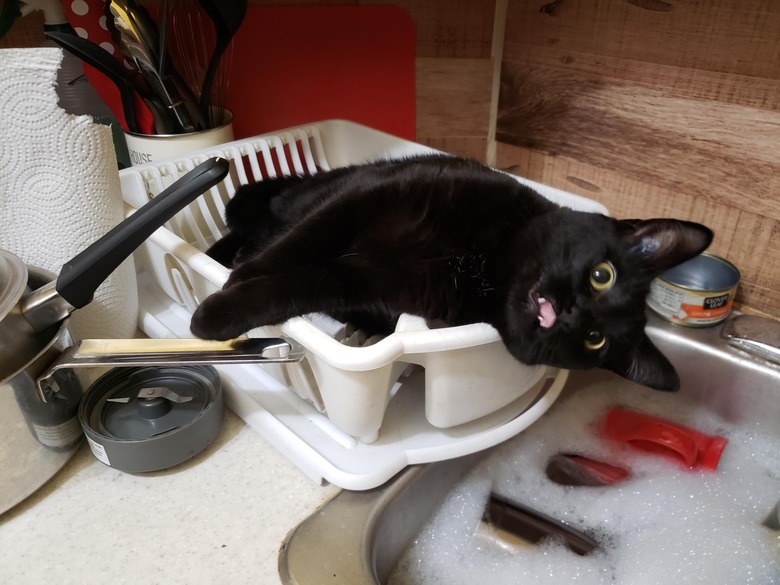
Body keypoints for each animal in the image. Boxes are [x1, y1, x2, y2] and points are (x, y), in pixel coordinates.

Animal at [190, 155, 712, 392]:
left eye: (594, 341)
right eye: (603, 275)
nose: (569, 312)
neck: (487, 263)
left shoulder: (363, 281)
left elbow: (302, 284)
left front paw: (217, 314)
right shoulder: (369, 196)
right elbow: (303, 242)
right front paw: (234, 285)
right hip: (311, 192)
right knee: (265, 220)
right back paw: (230, 255)